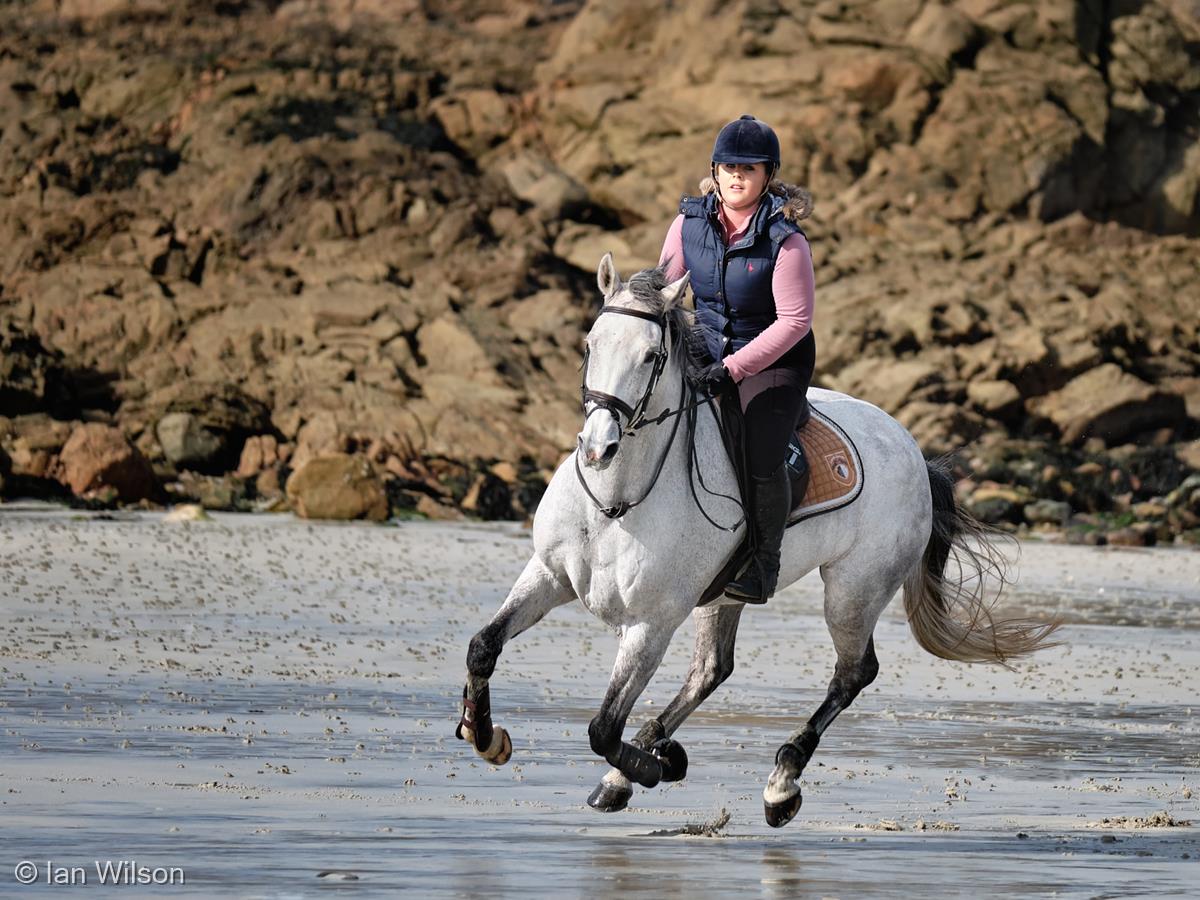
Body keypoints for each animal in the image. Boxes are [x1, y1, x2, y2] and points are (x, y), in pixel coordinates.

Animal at [453, 254, 1056, 830]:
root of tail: (912, 448)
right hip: (723, 597)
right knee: (710, 671)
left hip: (853, 591)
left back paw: (777, 783)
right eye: (589, 344)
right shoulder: (548, 573)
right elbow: (484, 646)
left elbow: (603, 727)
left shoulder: (650, 625)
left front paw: (657, 766)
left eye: (651, 357)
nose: (597, 448)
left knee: (852, 673)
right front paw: (487, 737)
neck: (615, 502)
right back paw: (632, 772)